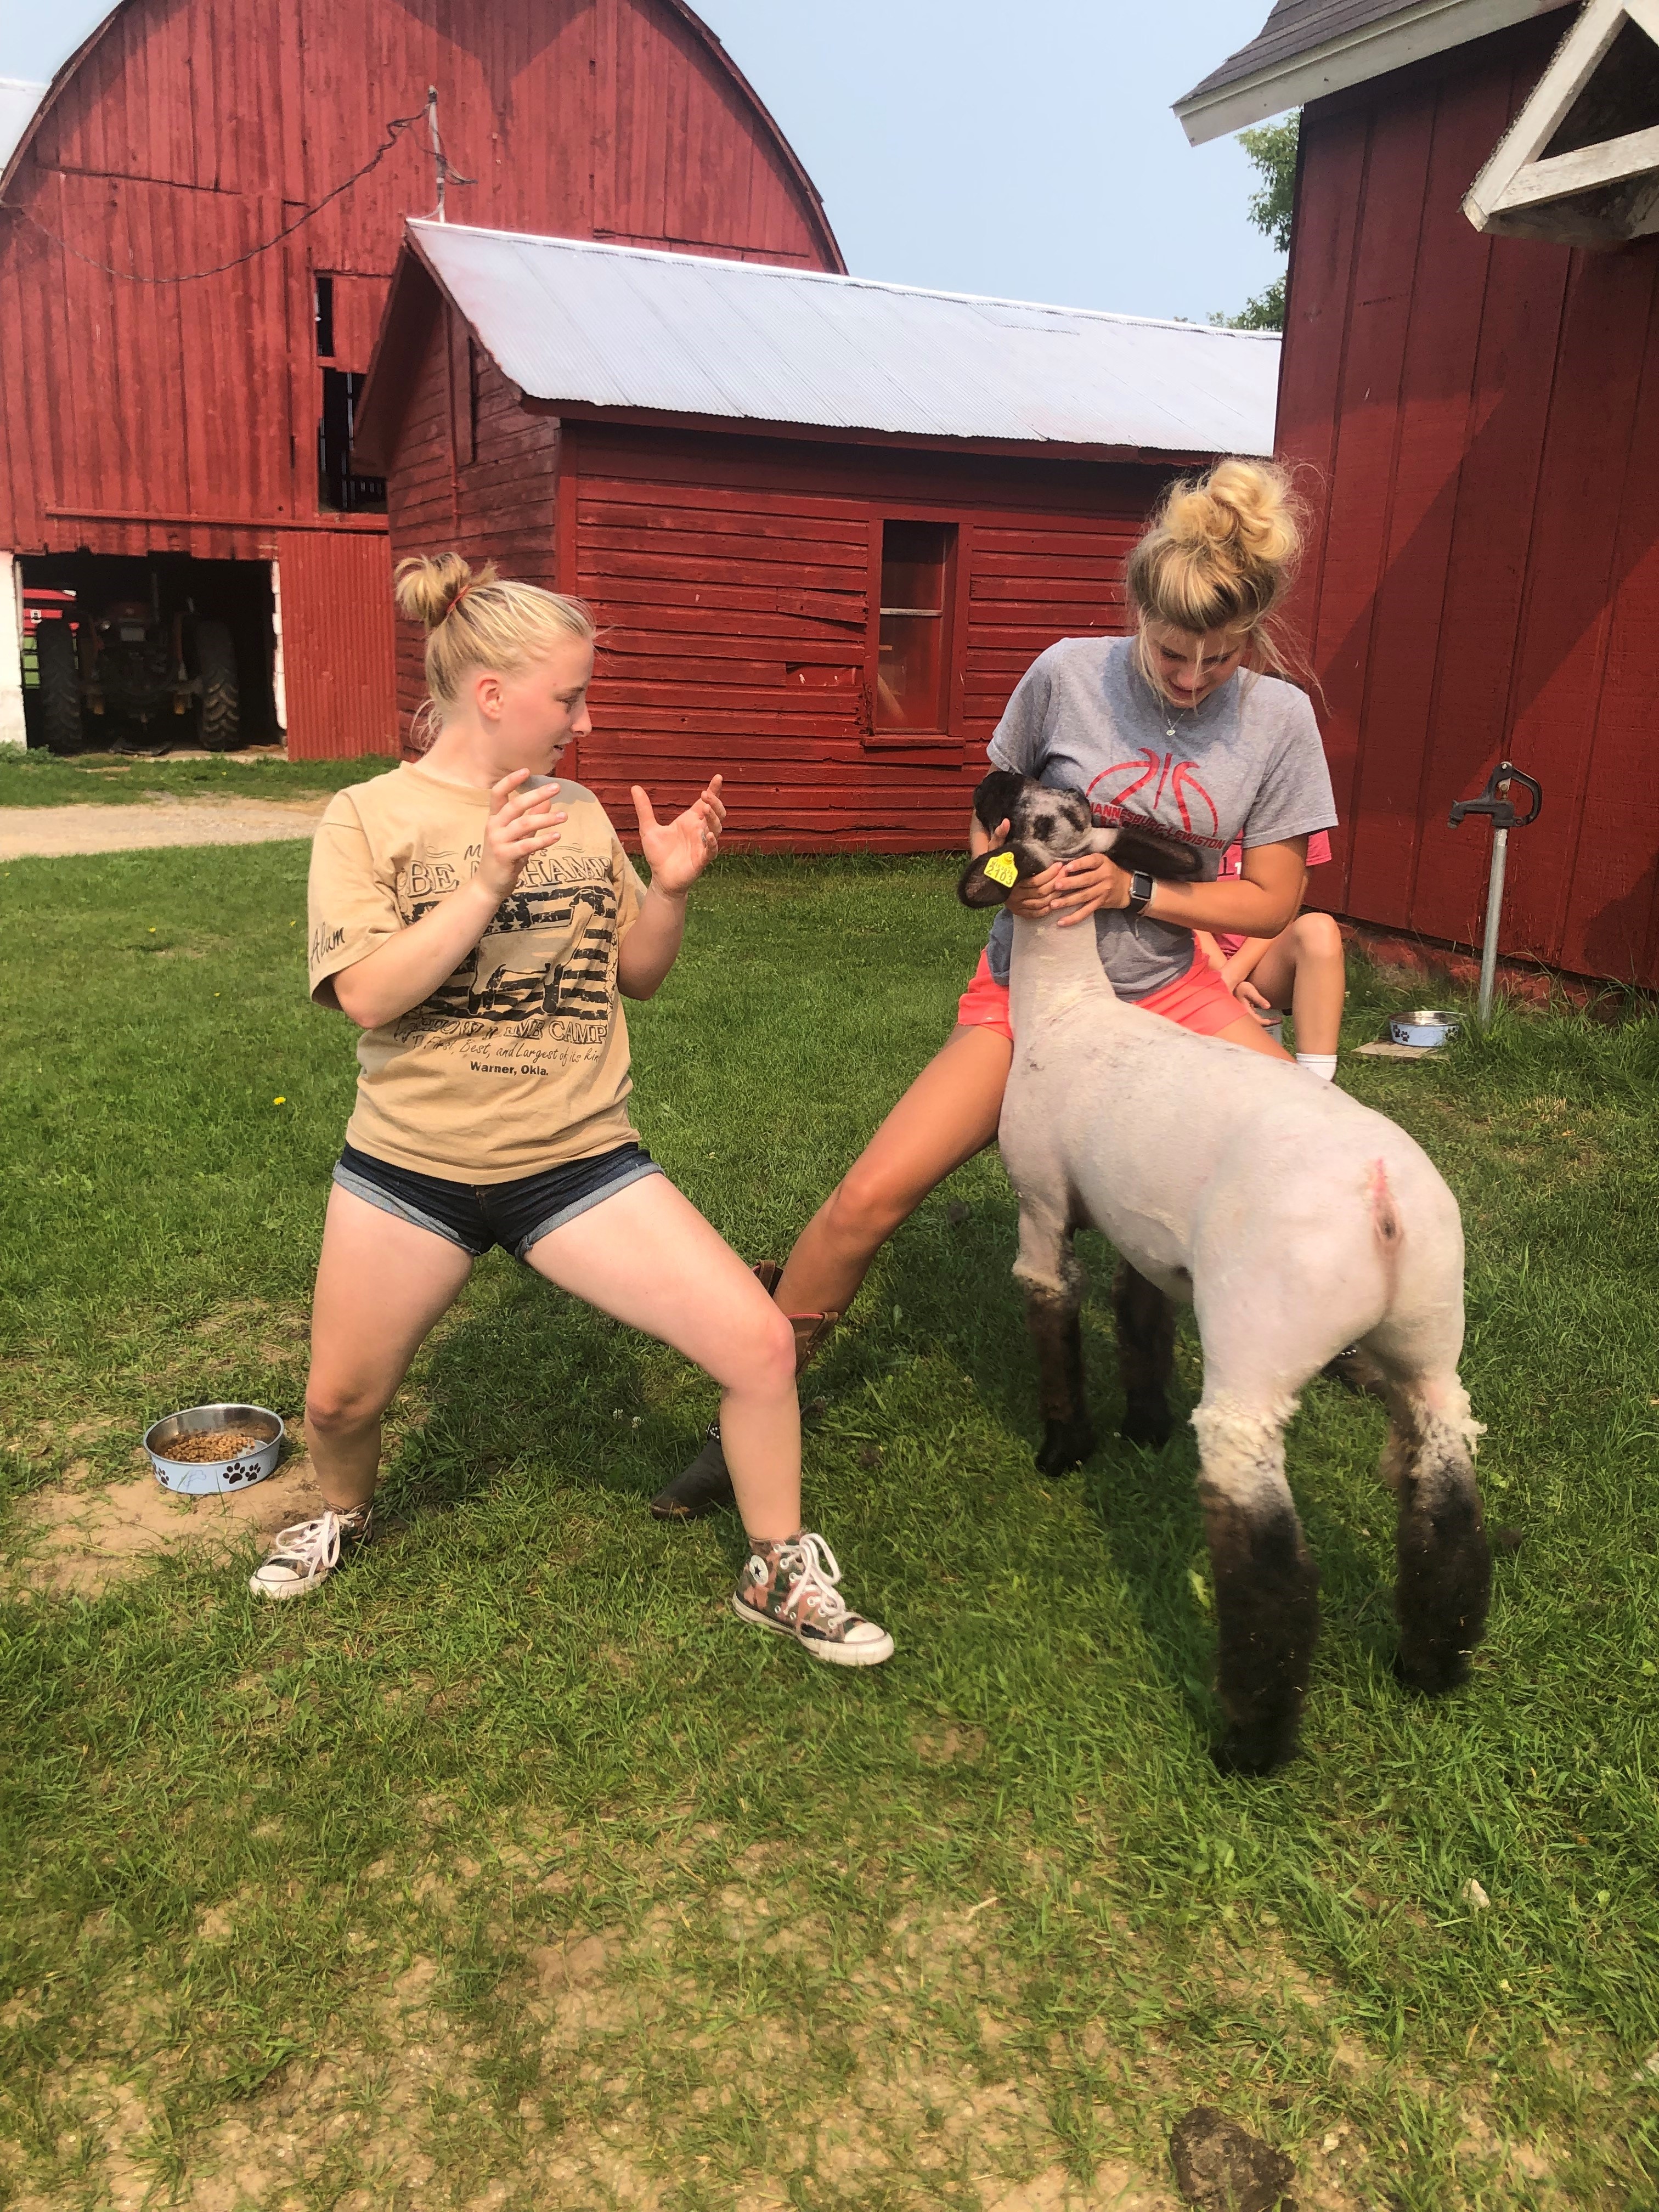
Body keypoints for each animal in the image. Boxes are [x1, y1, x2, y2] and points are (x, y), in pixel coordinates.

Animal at [969, 770, 1504, 1769]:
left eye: (1040, 818)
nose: (1002, 786)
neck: (1066, 1006)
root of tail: (1382, 1205)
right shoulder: (1144, 1228)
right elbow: (1137, 1316)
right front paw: (1141, 1425)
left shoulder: (1041, 1205)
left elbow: (1054, 1320)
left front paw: (1065, 1448)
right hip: (1430, 1341)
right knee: (1447, 1499)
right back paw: (1429, 1665)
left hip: (1258, 1351)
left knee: (1269, 1559)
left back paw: (1248, 1744)